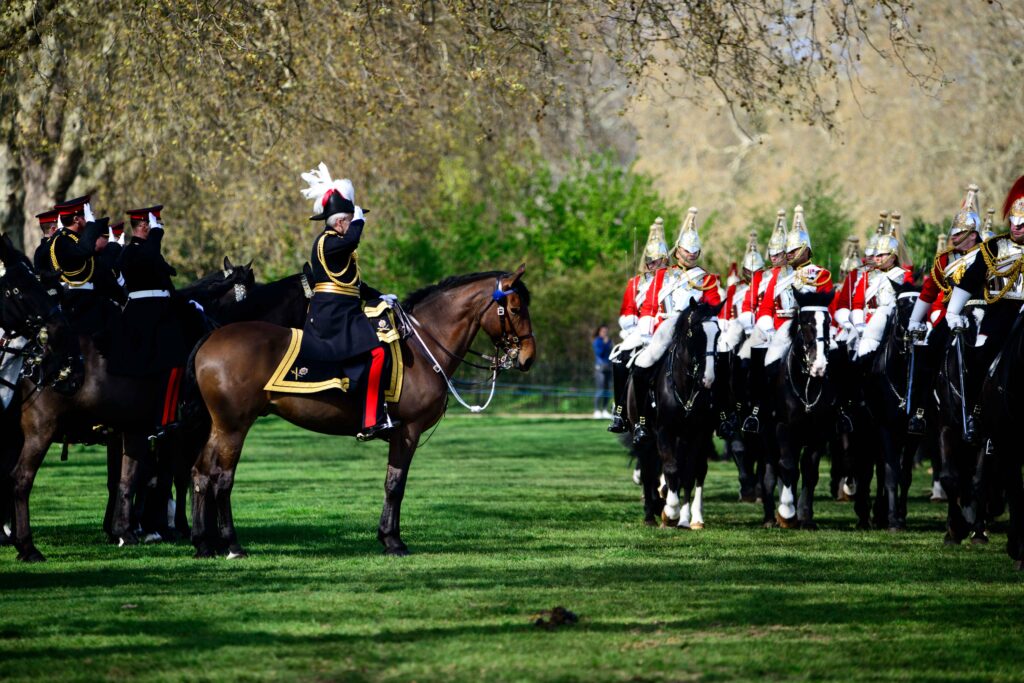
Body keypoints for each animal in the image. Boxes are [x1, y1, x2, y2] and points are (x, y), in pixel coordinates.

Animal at [187, 264, 536, 557]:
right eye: (516, 309)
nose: (528, 358)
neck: (424, 347)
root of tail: (211, 336)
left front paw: (387, 537)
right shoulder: (407, 432)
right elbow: (395, 485)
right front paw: (393, 540)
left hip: (219, 427)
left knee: (201, 473)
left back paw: (204, 544)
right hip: (234, 426)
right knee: (222, 479)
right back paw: (232, 544)